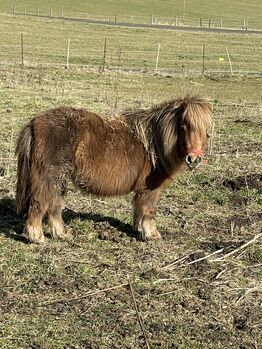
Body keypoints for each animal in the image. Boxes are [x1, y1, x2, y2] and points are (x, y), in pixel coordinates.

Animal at [15, 95, 213, 242]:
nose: (194, 159)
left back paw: (62, 234)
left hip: (59, 180)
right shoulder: (150, 190)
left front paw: (139, 229)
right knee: (40, 203)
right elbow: (149, 210)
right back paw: (37, 237)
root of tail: (34, 123)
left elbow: (139, 210)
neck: (155, 143)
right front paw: (152, 234)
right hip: (49, 178)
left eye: (206, 131)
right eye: (183, 126)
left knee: (55, 205)